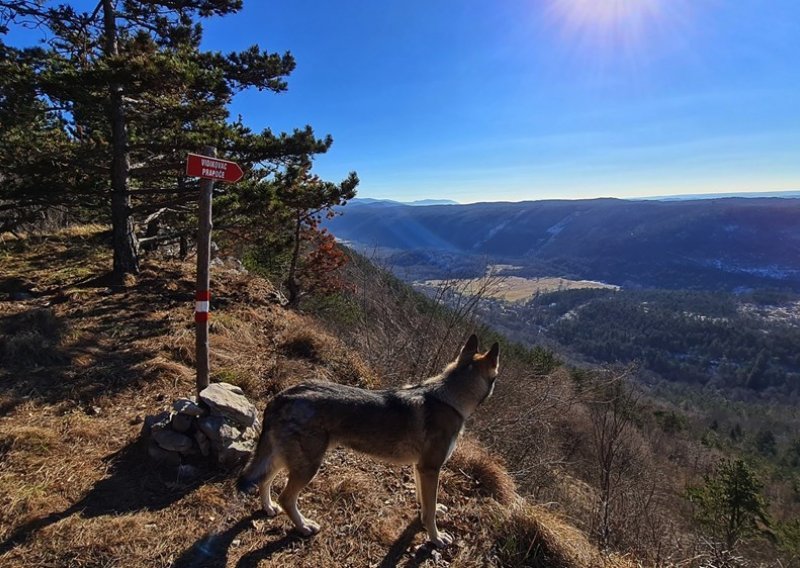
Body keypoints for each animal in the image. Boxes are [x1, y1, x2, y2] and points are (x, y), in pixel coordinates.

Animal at [236, 332, 500, 544]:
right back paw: (304, 526)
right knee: (286, 497)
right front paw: (436, 538)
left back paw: (269, 508)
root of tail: (282, 396)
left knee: (264, 480)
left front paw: (424, 516)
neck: (451, 399)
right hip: (308, 467)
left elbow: (426, 504)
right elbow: (431, 510)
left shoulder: (421, 468)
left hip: (285, 458)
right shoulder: (430, 468)